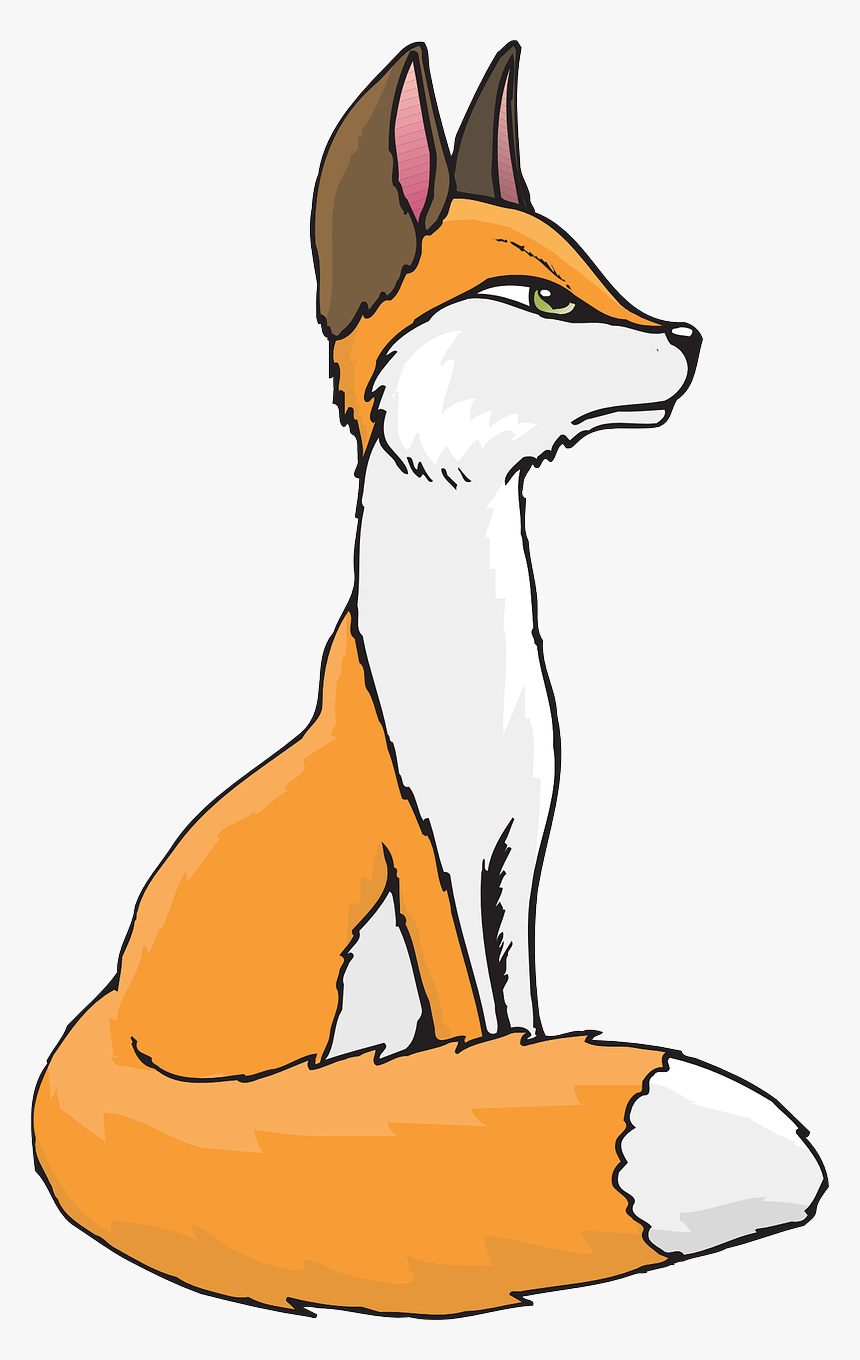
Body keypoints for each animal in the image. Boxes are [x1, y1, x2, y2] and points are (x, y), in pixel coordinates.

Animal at [32, 42, 826, 1319]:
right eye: (546, 300)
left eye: (593, 273)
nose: (690, 335)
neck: (471, 672)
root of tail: (110, 1012)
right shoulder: (428, 851)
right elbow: (476, 1016)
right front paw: (480, 1086)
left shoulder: (517, 844)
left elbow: (521, 1015)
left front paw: (513, 1072)